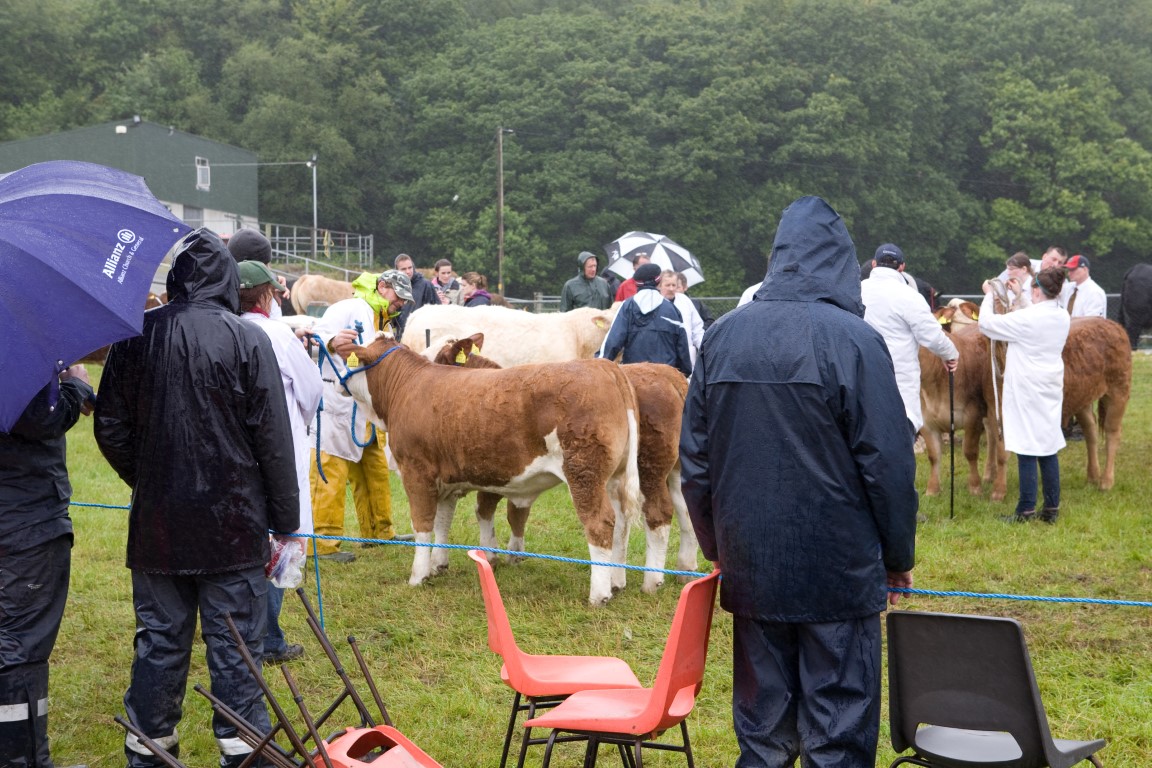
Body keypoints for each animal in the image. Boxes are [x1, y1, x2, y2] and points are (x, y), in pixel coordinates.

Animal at [341, 335, 642, 606]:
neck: (407, 387)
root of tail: (604, 366)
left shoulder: (417, 471)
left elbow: (423, 523)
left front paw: (419, 575)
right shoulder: (448, 481)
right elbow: (444, 521)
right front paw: (440, 564)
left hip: (584, 473)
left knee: (600, 523)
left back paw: (599, 594)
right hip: (615, 479)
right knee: (621, 524)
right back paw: (617, 581)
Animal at [429, 334, 699, 593]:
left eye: (440, 359)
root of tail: (670, 375)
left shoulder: (495, 472)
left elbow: (485, 509)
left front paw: (490, 555)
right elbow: (515, 512)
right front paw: (512, 553)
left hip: (647, 470)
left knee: (655, 514)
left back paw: (650, 582)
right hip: (673, 471)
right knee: (682, 512)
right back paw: (678, 570)